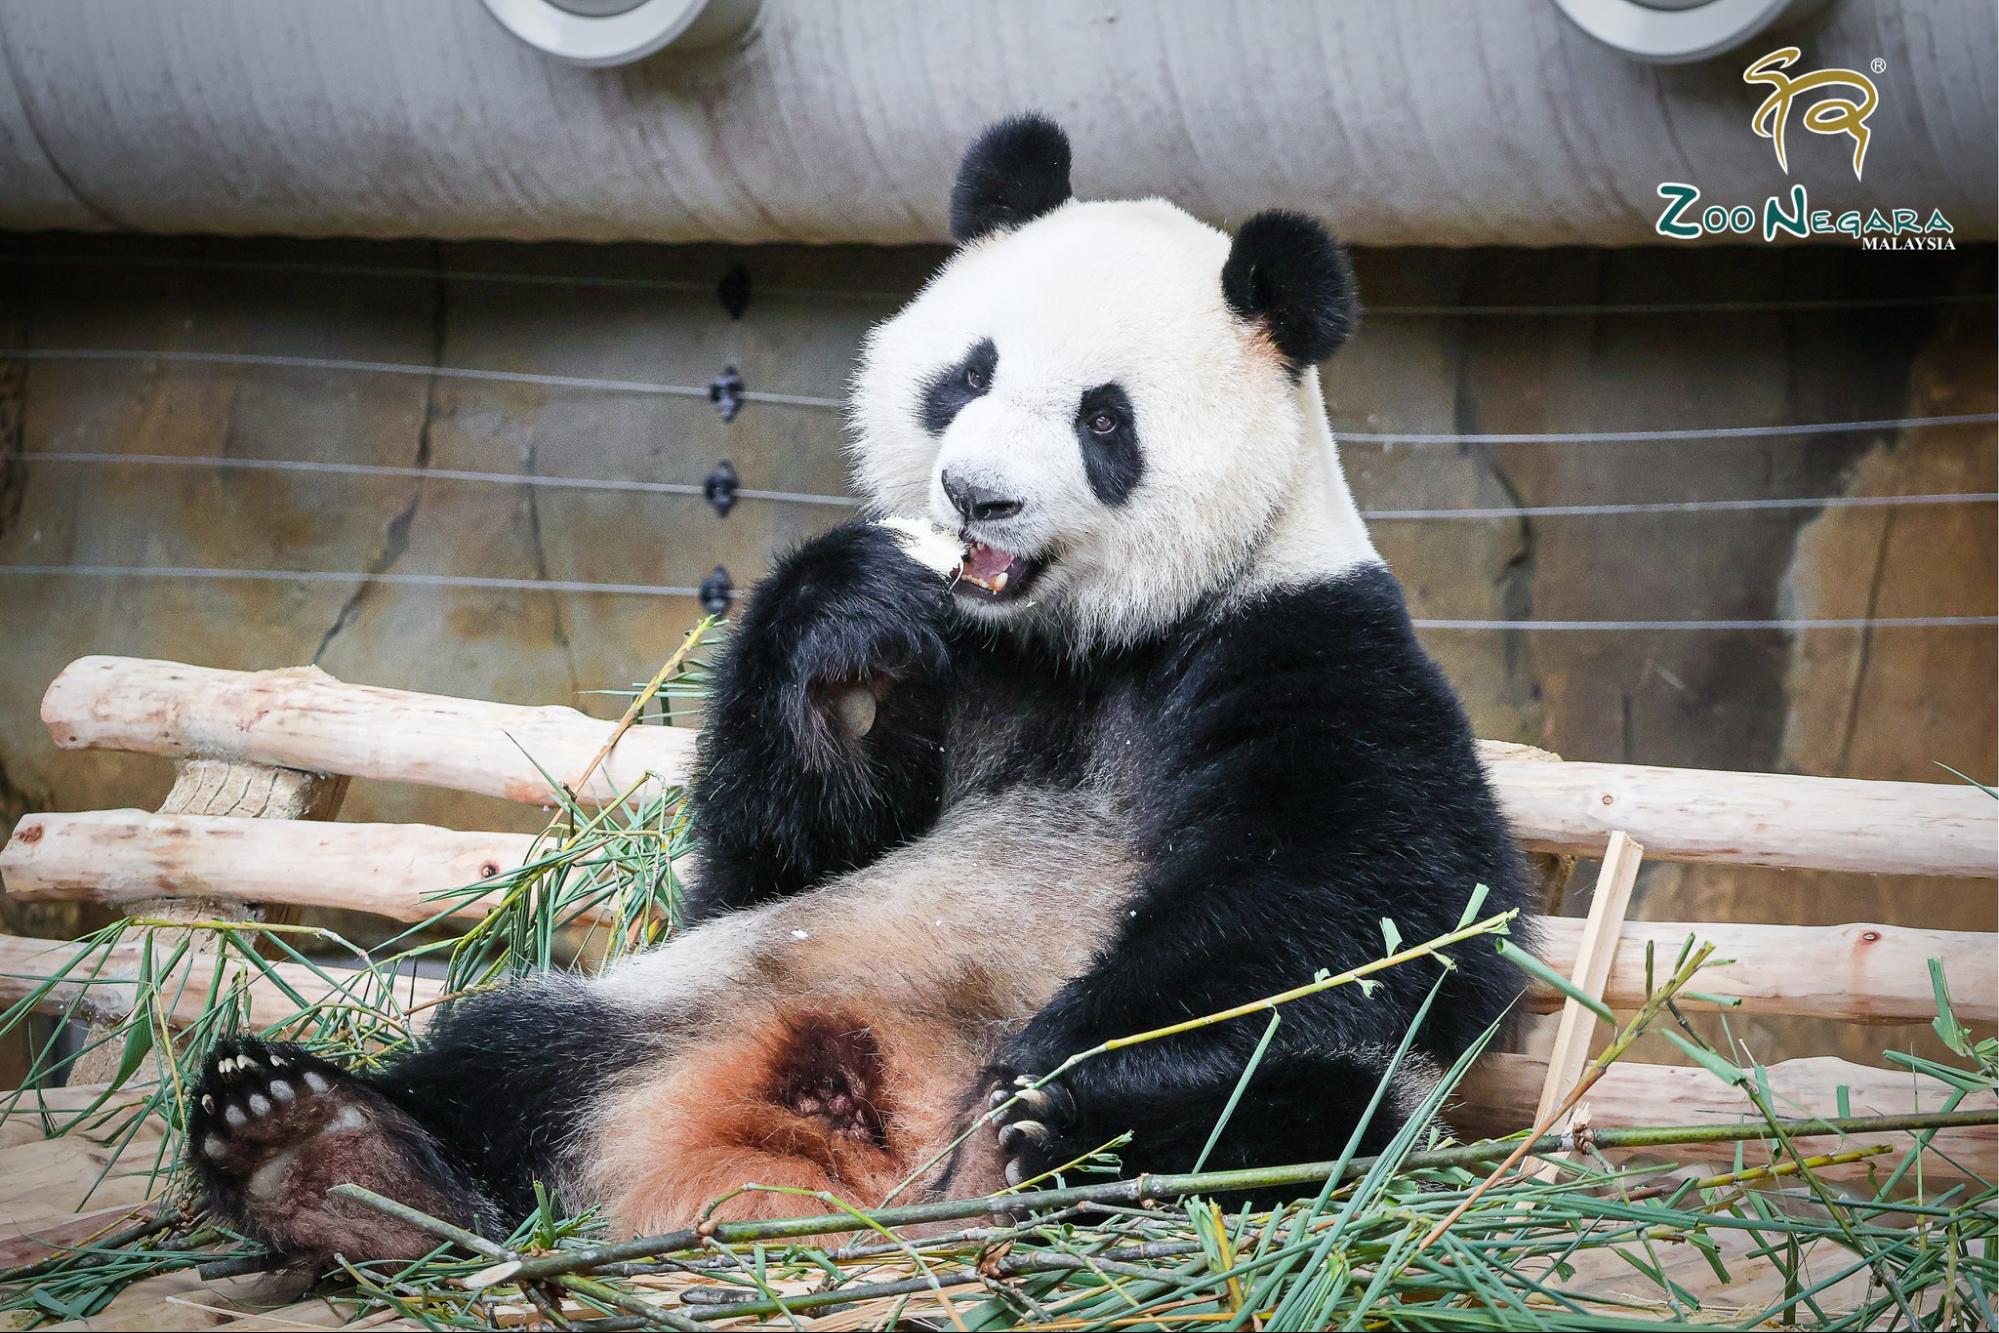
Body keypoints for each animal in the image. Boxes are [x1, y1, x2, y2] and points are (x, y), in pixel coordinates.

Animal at [186, 114, 1533, 1267]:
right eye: (967, 375)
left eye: (1105, 420)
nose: (975, 496)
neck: (1071, 639)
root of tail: (869, 1169)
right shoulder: (957, 671)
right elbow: (778, 853)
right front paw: (852, 633)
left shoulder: (1303, 638)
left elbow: (1371, 904)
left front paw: (1063, 1061)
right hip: (717, 993)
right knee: (512, 1056)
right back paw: (327, 1158)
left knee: (1312, 1115)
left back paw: (1064, 1137)